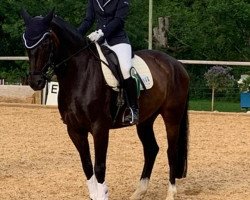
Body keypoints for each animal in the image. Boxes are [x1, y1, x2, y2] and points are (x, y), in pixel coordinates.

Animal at [21, 9, 189, 200]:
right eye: (26, 42)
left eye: (46, 42)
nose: (36, 82)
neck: (79, 75)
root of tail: (176, 64)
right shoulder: (75, 130)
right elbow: (87, 165)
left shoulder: (99, 128)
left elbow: (99, 166)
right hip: (145, 120)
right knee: (151, 149)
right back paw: (139, 192)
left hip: (172, 116)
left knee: (171, 151)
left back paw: (171, 193)